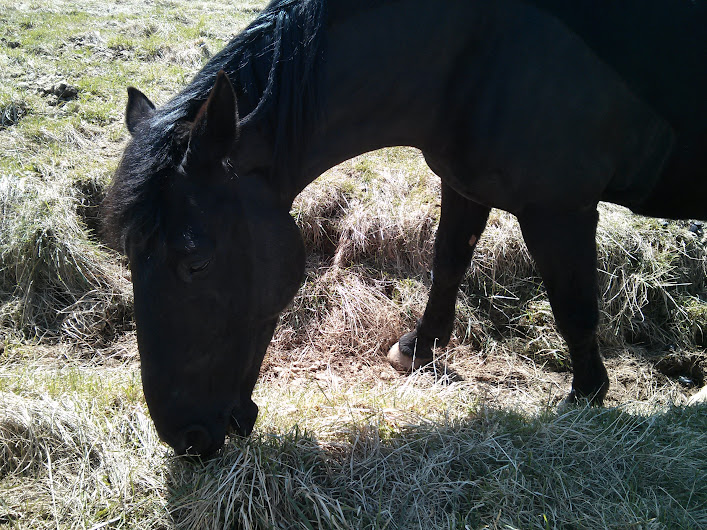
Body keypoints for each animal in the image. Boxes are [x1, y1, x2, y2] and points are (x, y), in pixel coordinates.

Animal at [102, 0, 707, 456]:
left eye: (196, 261)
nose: (184, 438)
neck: (485, 48)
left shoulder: (558, 210)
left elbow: (573, 306)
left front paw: (586, 396)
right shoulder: (465, 183)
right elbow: (448, 262)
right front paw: (419, 350)